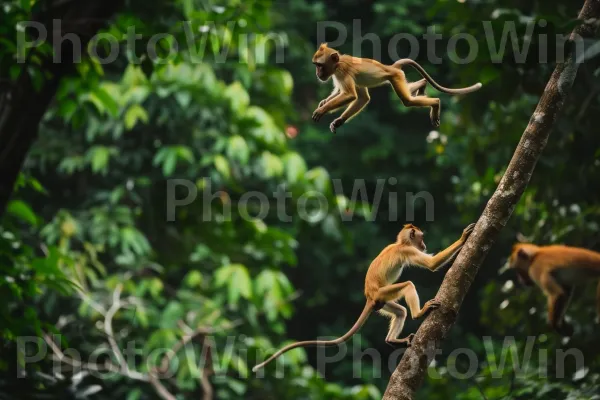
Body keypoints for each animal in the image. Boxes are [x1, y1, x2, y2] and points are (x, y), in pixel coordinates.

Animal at [251, 222, 476, 372]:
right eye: (420, 238)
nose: (424, 245)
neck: (398, 243)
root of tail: (369, 295)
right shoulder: (408, 251)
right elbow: (430, 265)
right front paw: (463, 238)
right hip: (384, 293)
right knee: (408, 287)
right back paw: (418, 314)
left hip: (383, 301)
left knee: (400, 311)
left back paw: (392, 340)